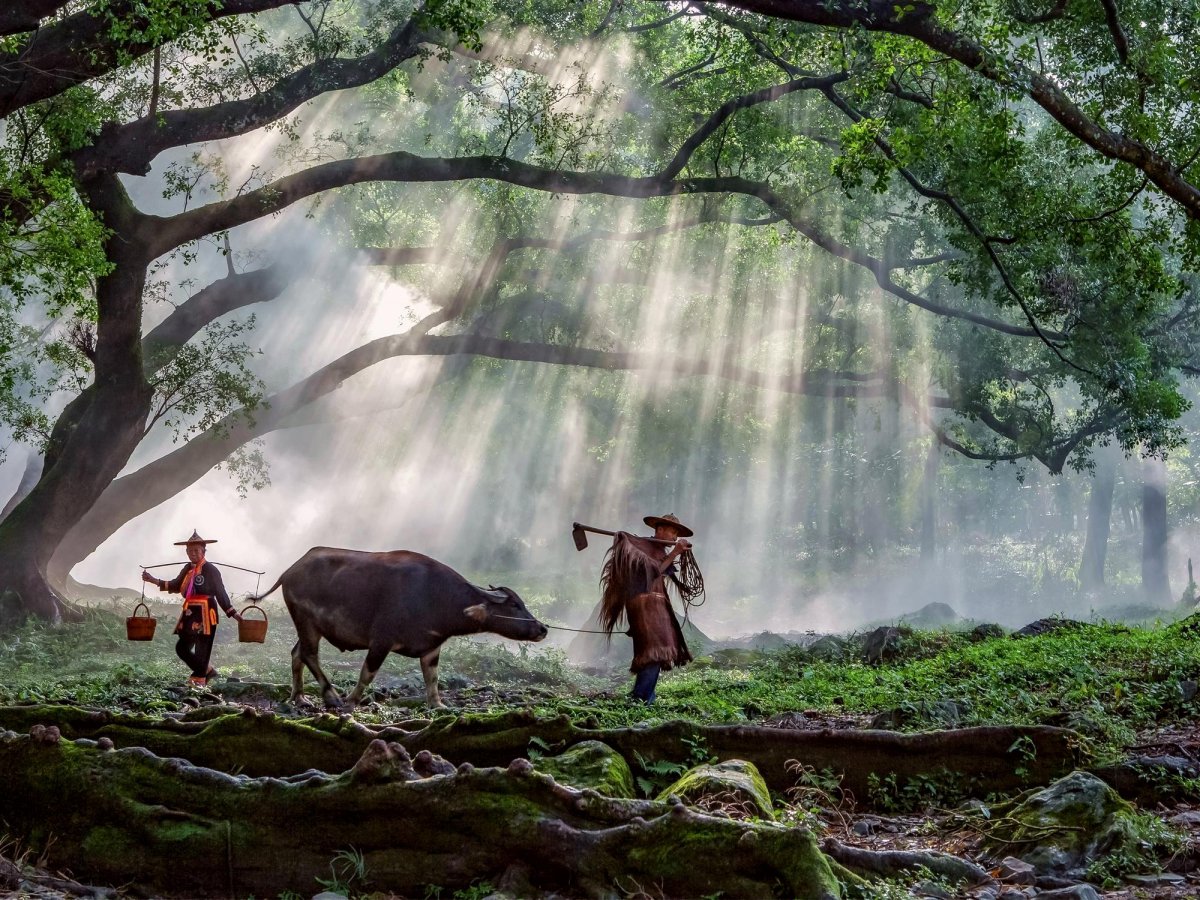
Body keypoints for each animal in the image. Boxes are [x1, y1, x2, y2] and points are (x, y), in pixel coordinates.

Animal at [260, 547, 549, 710]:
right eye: (514, 605)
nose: (543, 628)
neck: (436, 597)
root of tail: (289, 570)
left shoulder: (432, 647)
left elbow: (432, 679)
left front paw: (438, 705)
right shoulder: (381, 641)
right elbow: (367, 674)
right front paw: (352, 702)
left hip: (309, 626)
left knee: (297, 654)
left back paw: (299, 697)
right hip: (306, 622)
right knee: (309, 655)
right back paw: (332, 697)